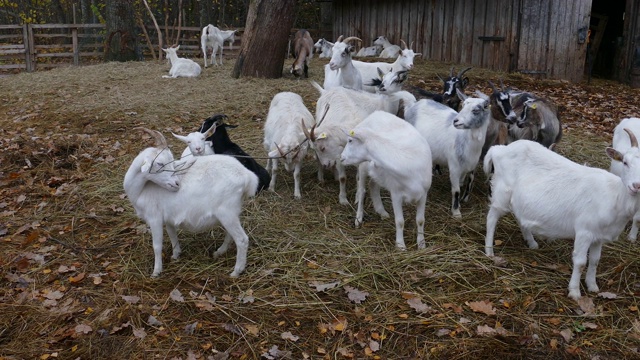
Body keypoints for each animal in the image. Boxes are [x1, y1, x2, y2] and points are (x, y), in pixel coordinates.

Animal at [123, 128, 258, 278]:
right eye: (159, 163)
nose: (177, 184)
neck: (141, 190)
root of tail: (247, 176)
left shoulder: (154, 217)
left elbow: (157, 246)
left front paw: (156, 272)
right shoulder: (168, 217)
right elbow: (172, 234)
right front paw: (176, 254)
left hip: (226, 211)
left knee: (242, 239)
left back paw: (236, 271)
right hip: (233, 212)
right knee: (231, 234)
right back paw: (220, 251)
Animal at [340, 111, 430, 249]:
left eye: (350, 140)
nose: (341, 158)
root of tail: (375, 113)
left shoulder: (424, 193)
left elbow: (420, 220)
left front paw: (421, 244)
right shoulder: (396, 193)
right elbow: (400, 221)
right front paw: (400, 245)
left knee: (373, 184)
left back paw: (381, 211)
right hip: (363, 166)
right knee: (362, 191)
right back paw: (358, 218)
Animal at [404, 88, 490, 218]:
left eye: (476, 110)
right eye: (462, 106)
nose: (456, 121)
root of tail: (413, 104)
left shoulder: (472, 165)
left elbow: (469, 183)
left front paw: (464, 200)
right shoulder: (454, 166)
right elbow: (456, 190)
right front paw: (456, 212)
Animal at [482, 134, 640, 298]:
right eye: (625, 162)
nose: (636, 186)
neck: (615, 195)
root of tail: (499, 149)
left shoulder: (599, 236)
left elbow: (595, 260)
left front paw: (592, 286)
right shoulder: (584, 231)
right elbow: (580, 262)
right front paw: (575, 291)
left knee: (520, 217)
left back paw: (531, 242)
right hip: (502, 192)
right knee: (492, 217)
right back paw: (489, 250)